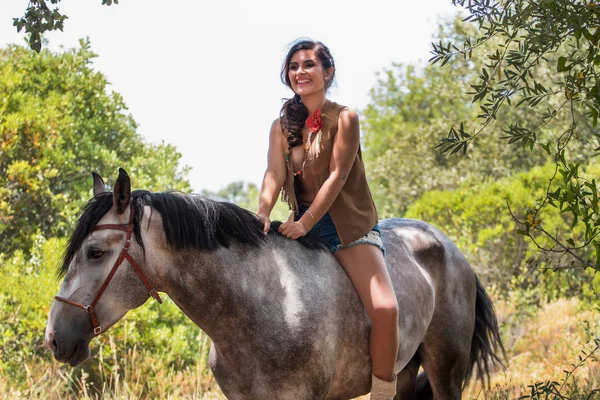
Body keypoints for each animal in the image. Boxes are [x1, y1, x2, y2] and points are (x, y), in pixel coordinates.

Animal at [45, 170, 502, 400]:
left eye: (95, 253)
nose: (53, 337)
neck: (265, 304)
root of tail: (449, 246)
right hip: (404, 372)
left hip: (446, 372)